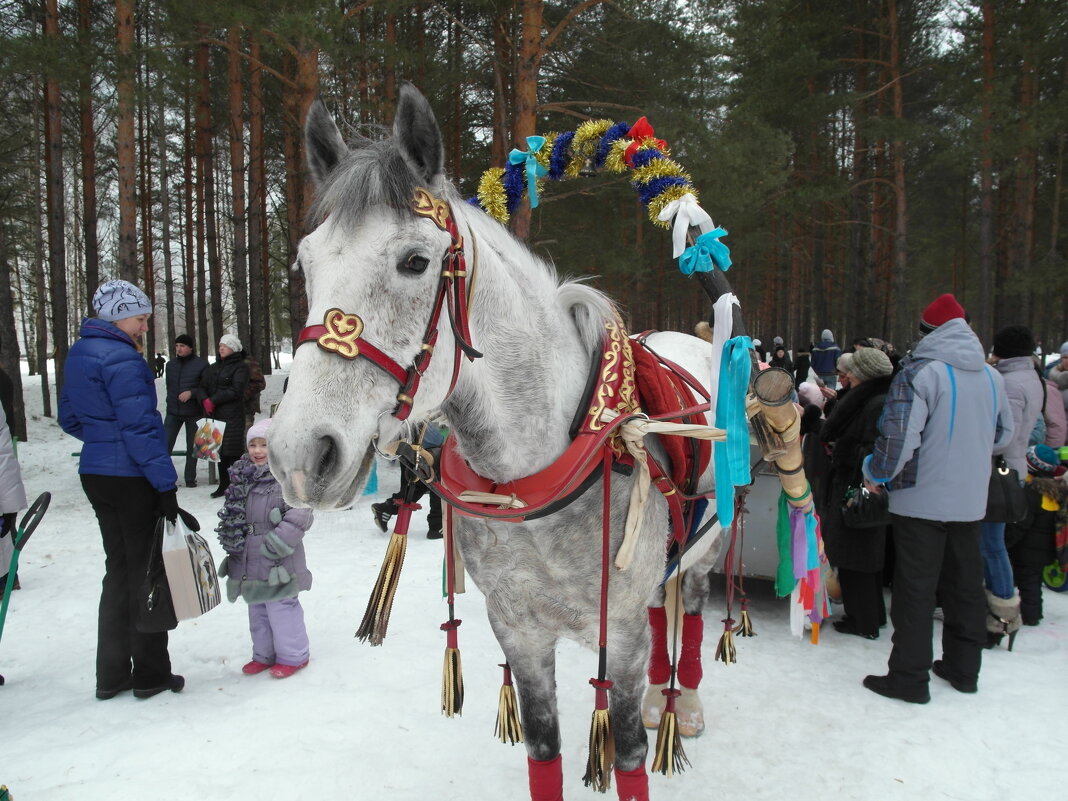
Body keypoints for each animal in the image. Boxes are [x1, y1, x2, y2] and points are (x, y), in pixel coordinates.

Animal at [271, 83, 730, 801]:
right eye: (306, 263)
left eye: (415, 261)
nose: (299, 455)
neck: (539, 472)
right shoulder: (520, 631)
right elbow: (544, 747)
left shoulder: (620, 636)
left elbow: (628, 753)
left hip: (705, 551)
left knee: (688, 610)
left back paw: (683, 703)